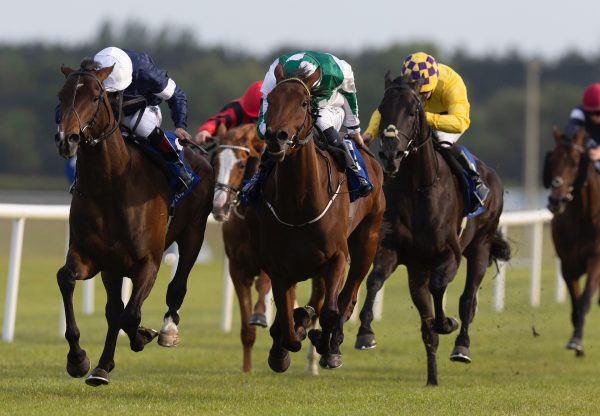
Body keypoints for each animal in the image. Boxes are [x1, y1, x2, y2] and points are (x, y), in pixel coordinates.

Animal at [53, 60, 213, 386]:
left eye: (96, 97)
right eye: (61, 96)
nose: (67, 139)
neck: (112, 184)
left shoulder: (148, 262)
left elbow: (131, 315)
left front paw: (143, 335)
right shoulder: (91, 257)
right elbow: (67, 279)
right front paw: (79, 359)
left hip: (194, 232)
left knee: (176, 287)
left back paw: (167, 330)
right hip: (113, 268)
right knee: (113, 309)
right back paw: (102, 366)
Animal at [246, 66, 386, 372]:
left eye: (303, 103)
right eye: (270, 100)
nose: (277, 137)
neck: (299, 203)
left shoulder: (336, 257)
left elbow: (331, 311)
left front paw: (326, 344)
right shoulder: (279, 267)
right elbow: (286, 319)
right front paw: (283, 346)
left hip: (367, 241)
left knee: (347, 298)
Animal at [356, 73, 510, 386]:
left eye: (412, 111)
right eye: (382, 107)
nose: (390, 155)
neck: (417, 188)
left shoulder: (449, 254)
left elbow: (441, 289)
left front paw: (447, 322)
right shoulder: (392, 250)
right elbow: (375, 280)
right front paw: (365, 333)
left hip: (480, 247)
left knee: (468, 299)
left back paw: (461, 346)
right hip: (418, 269)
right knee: (426, 322)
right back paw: (432, 378)